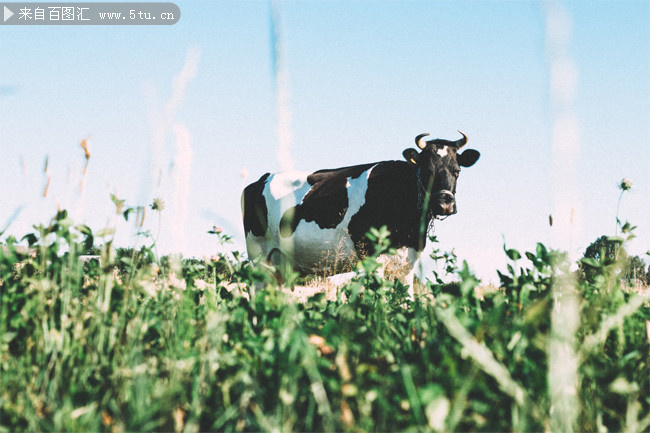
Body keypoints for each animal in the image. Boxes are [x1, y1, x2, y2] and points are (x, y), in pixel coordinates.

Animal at [240, 130, 478, 296]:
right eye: (427, 170)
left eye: (457, 171)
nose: (444, 204)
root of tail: (261, 179)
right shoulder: (374, 257)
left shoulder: (408, 263)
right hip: (259, 255)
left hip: (281, 265)